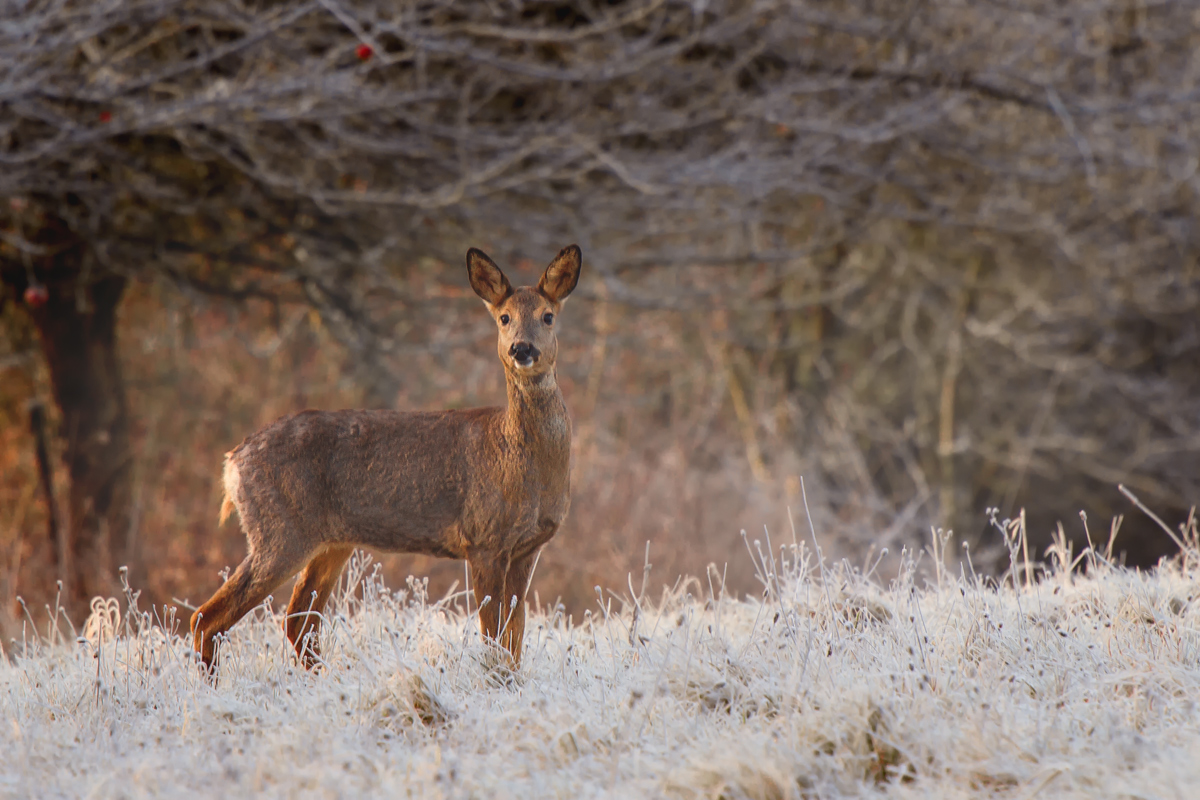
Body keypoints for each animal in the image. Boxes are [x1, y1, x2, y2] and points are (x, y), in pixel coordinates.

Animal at [189, 245, 583, 676]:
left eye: (548, 315)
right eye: (504, 317)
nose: (522, 349)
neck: (520, 459)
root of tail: (233, 462)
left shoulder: (528, 548)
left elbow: (514, 637)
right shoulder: (484, 537)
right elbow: (494, 637)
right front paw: (494, 682)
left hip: (329, 542)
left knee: (298, 622)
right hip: (280, 531)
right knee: (209, 617)